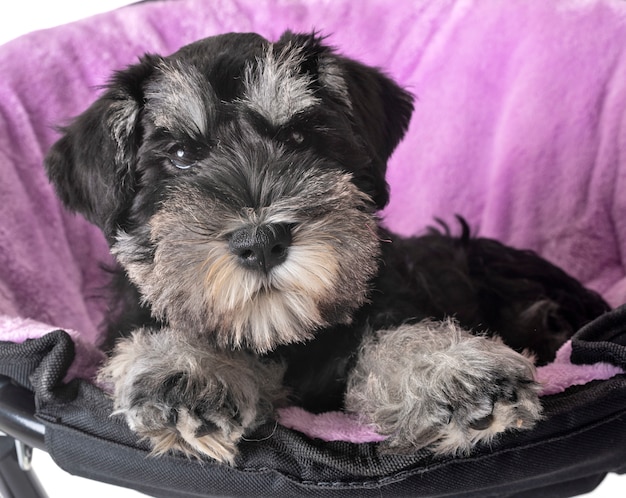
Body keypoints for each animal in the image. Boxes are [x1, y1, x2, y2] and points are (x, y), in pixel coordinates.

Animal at [42, 33, 604, 464]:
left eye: (298, 137)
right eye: (180, 154)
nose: (261, 242)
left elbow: (396, 337)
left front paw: (453, 374)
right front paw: (185, 372)